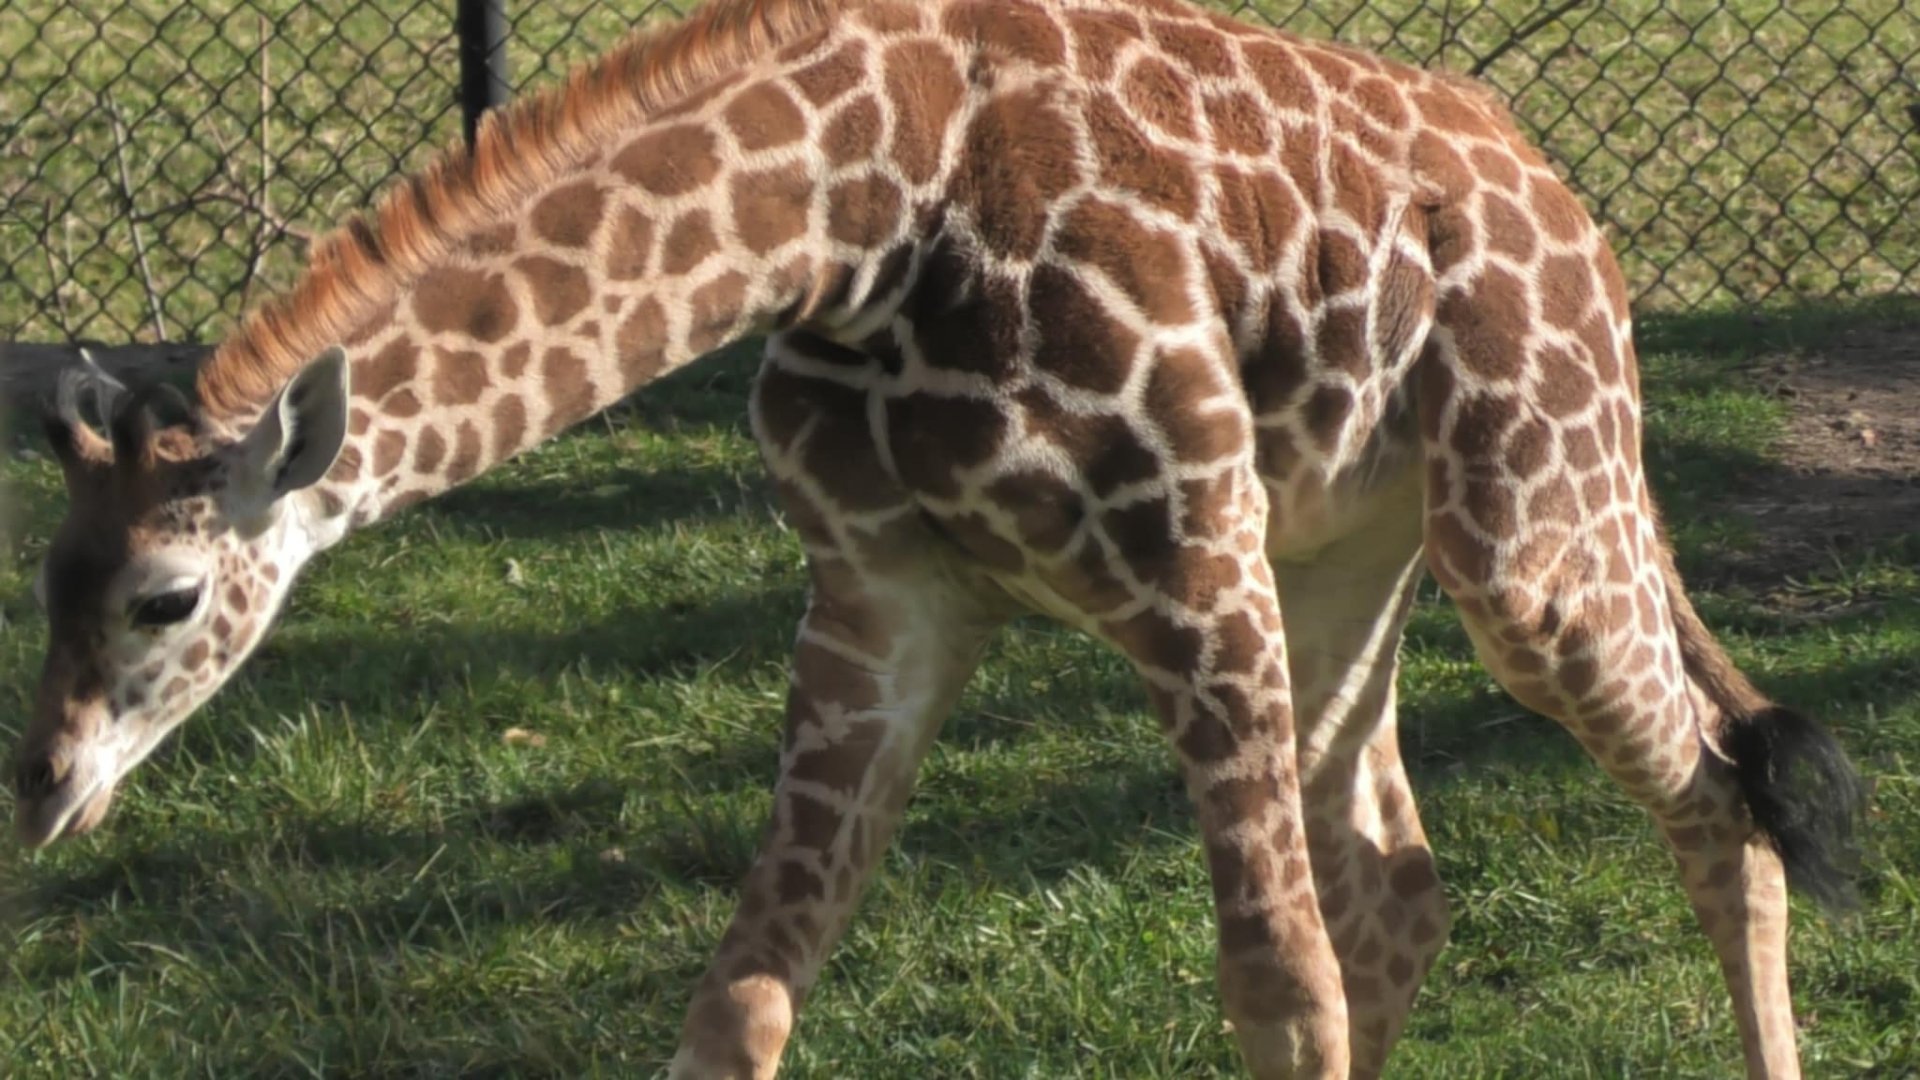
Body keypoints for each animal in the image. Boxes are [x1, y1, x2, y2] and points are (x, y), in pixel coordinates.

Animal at [9, 0, 1862, 1075]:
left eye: (167, 595)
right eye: (45, 579)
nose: (41, 794)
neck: (860, 206)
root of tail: (1574, 211)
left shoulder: (1192, 564)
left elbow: (1278, 991)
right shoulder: (879, 591)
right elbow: (742, 993)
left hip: (1531, 532)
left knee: (1714, 798)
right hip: (1351, 548)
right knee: (1400, 884)